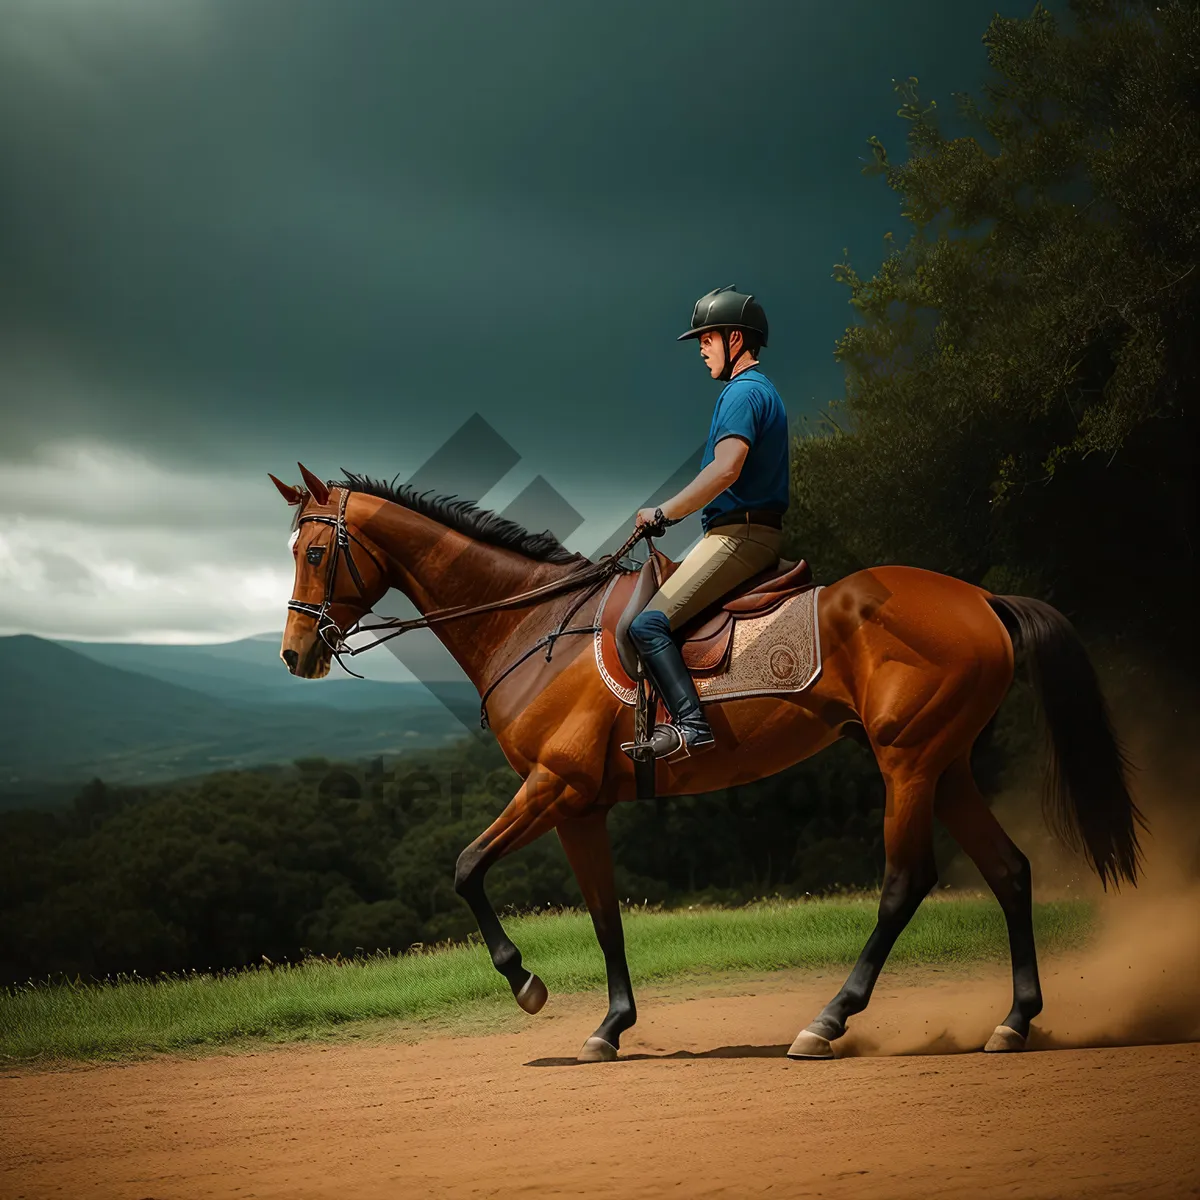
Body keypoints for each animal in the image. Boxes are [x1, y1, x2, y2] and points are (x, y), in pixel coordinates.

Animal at [270, 463, 1142, 1065]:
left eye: (315, 551)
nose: (294, 654)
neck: (534, 626)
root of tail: (979, 599)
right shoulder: (580, 805)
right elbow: (604, 914)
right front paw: (610, 1027)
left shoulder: (552, 786)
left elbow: (465, 866)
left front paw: (526, 985)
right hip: (946, 761)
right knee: (1010, 871)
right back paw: (1014, 1020)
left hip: (909, 762)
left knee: (906, 883)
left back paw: (827, 1021)